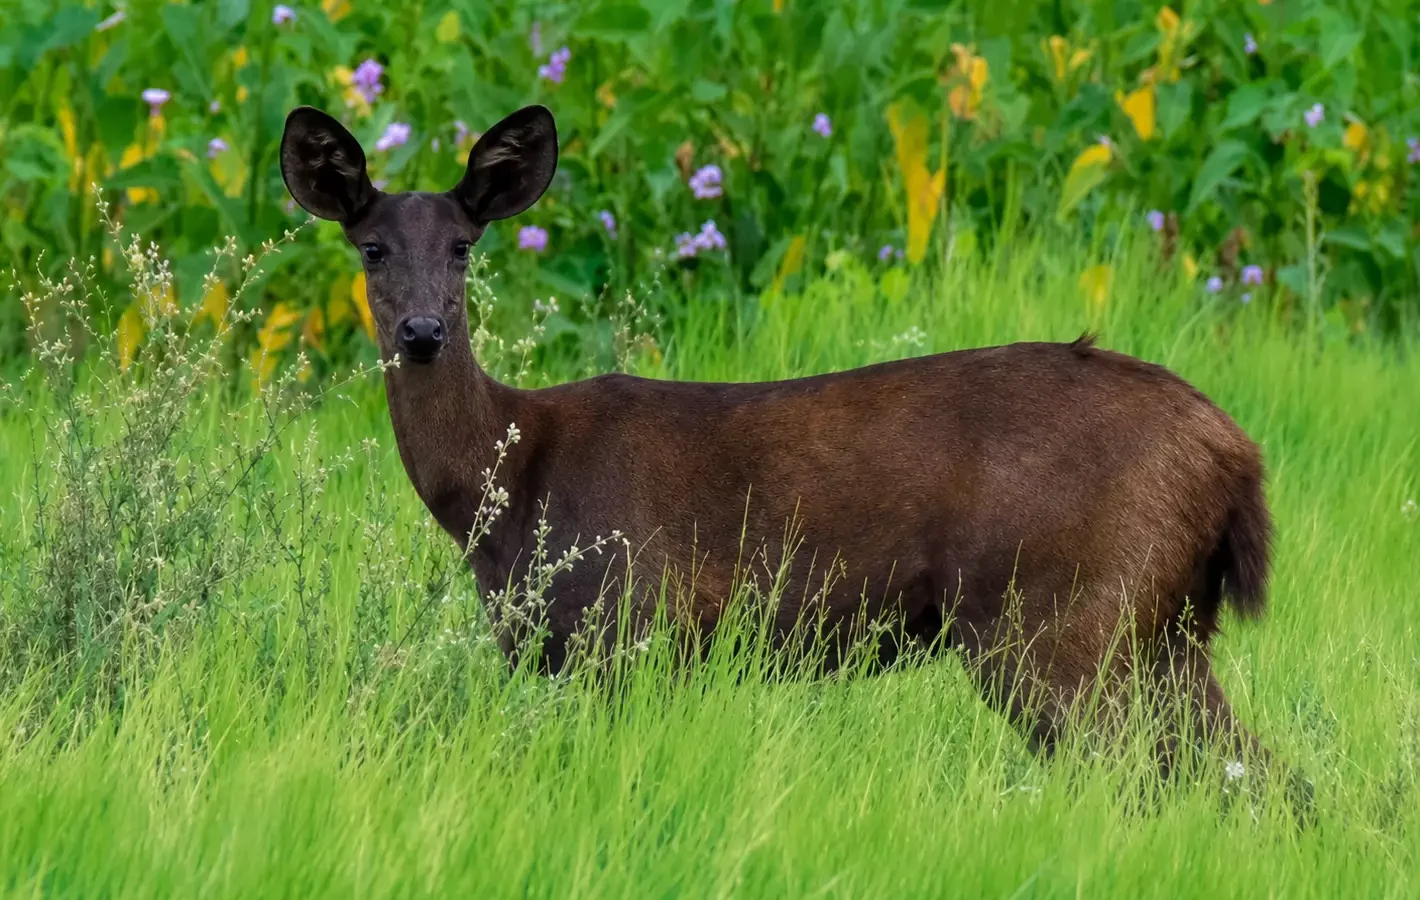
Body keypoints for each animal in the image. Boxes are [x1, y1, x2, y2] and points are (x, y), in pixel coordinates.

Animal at [280, 103, 1299, 799]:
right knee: (1264, 780)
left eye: (462, 245)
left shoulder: (628, 628)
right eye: (371, 247)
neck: (508, 490)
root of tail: (1235, 454)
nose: (421, 333)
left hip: (1064, 615)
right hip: (1161, 626)